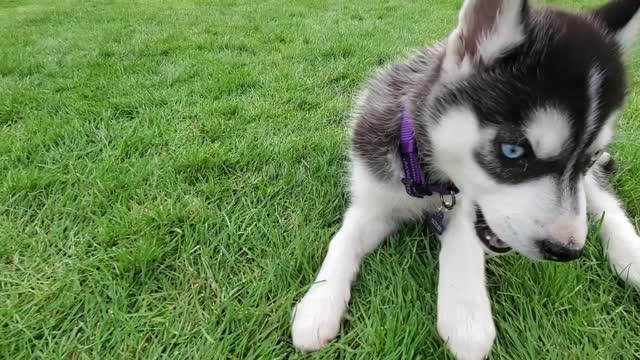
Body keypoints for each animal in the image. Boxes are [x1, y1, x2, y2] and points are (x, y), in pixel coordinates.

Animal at [292, 0, 640, 358]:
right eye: (513, 150)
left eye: (591, 157)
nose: (566, 250)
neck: (428, 179)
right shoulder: (372, 197)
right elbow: (343, 240)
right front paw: (318, 304)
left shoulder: (465, 209)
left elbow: (464, 244)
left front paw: (466, 317)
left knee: (606, 202)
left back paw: (631, 256)